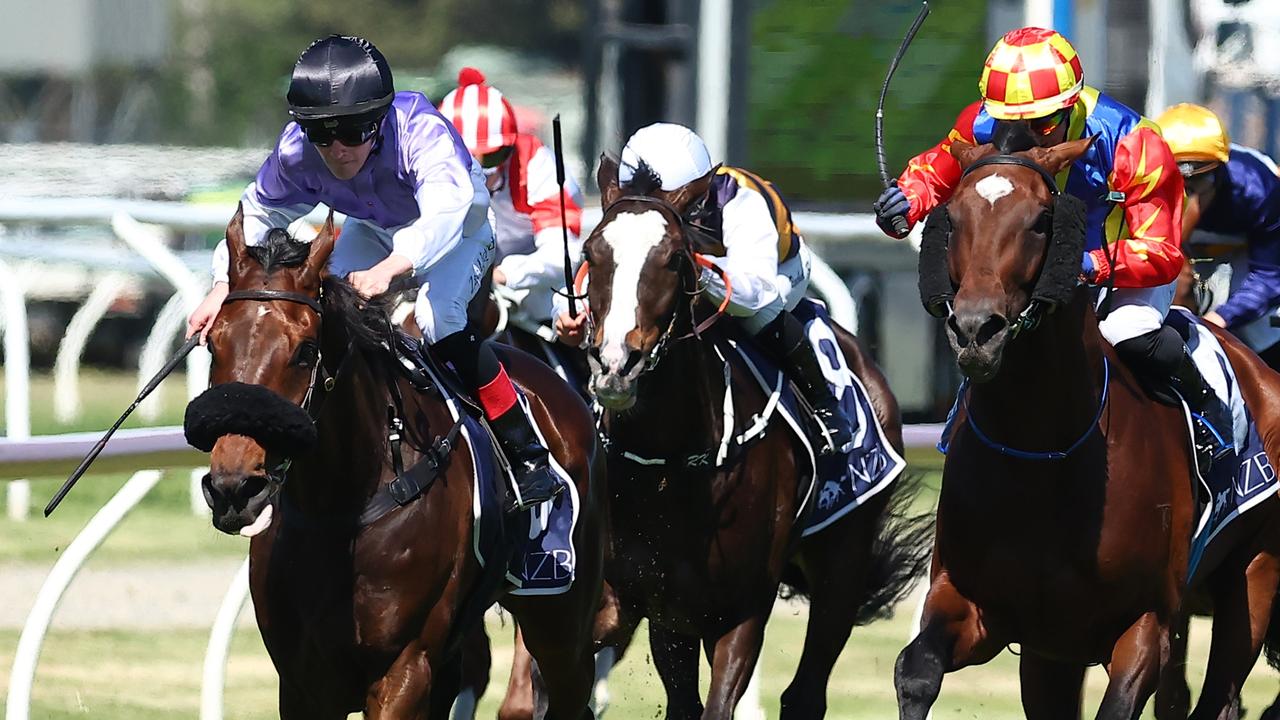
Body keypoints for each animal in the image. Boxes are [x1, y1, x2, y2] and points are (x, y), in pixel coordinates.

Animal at [188, 206, 604, 712]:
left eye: (306, 351)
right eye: (213, 343)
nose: (233, 488)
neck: (339, 508)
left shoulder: (403, 670)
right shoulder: (304, 682)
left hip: (562, 619)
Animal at [529, 158, 931, 717]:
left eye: (675, 258)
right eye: (591, 251)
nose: (615, 366)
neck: (669, 465)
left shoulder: (740, 614)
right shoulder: (636, 600)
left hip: (842, 564)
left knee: (806, 691)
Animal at [901, 140, 1280, 717]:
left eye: (1041, 221)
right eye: (954, 215)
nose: (975, 331)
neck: (1041, 452)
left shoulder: (1146, 624)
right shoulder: (981, 608)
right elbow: (915, 670)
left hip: (1253, 575)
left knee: (1218, 693)